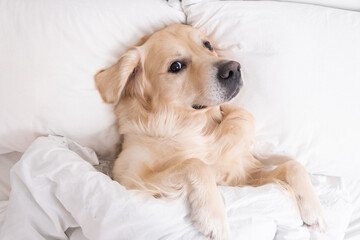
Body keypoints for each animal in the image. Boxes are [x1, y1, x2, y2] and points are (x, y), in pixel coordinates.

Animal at [95, 23, 326, 238]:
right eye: (176, 66)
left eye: (207, 45)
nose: (233, 68)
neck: (198, 126)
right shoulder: (129, 180)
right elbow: (196, 164)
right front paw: (214, 218)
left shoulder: (243, 176)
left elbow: (293, 165)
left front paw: (314, 210)